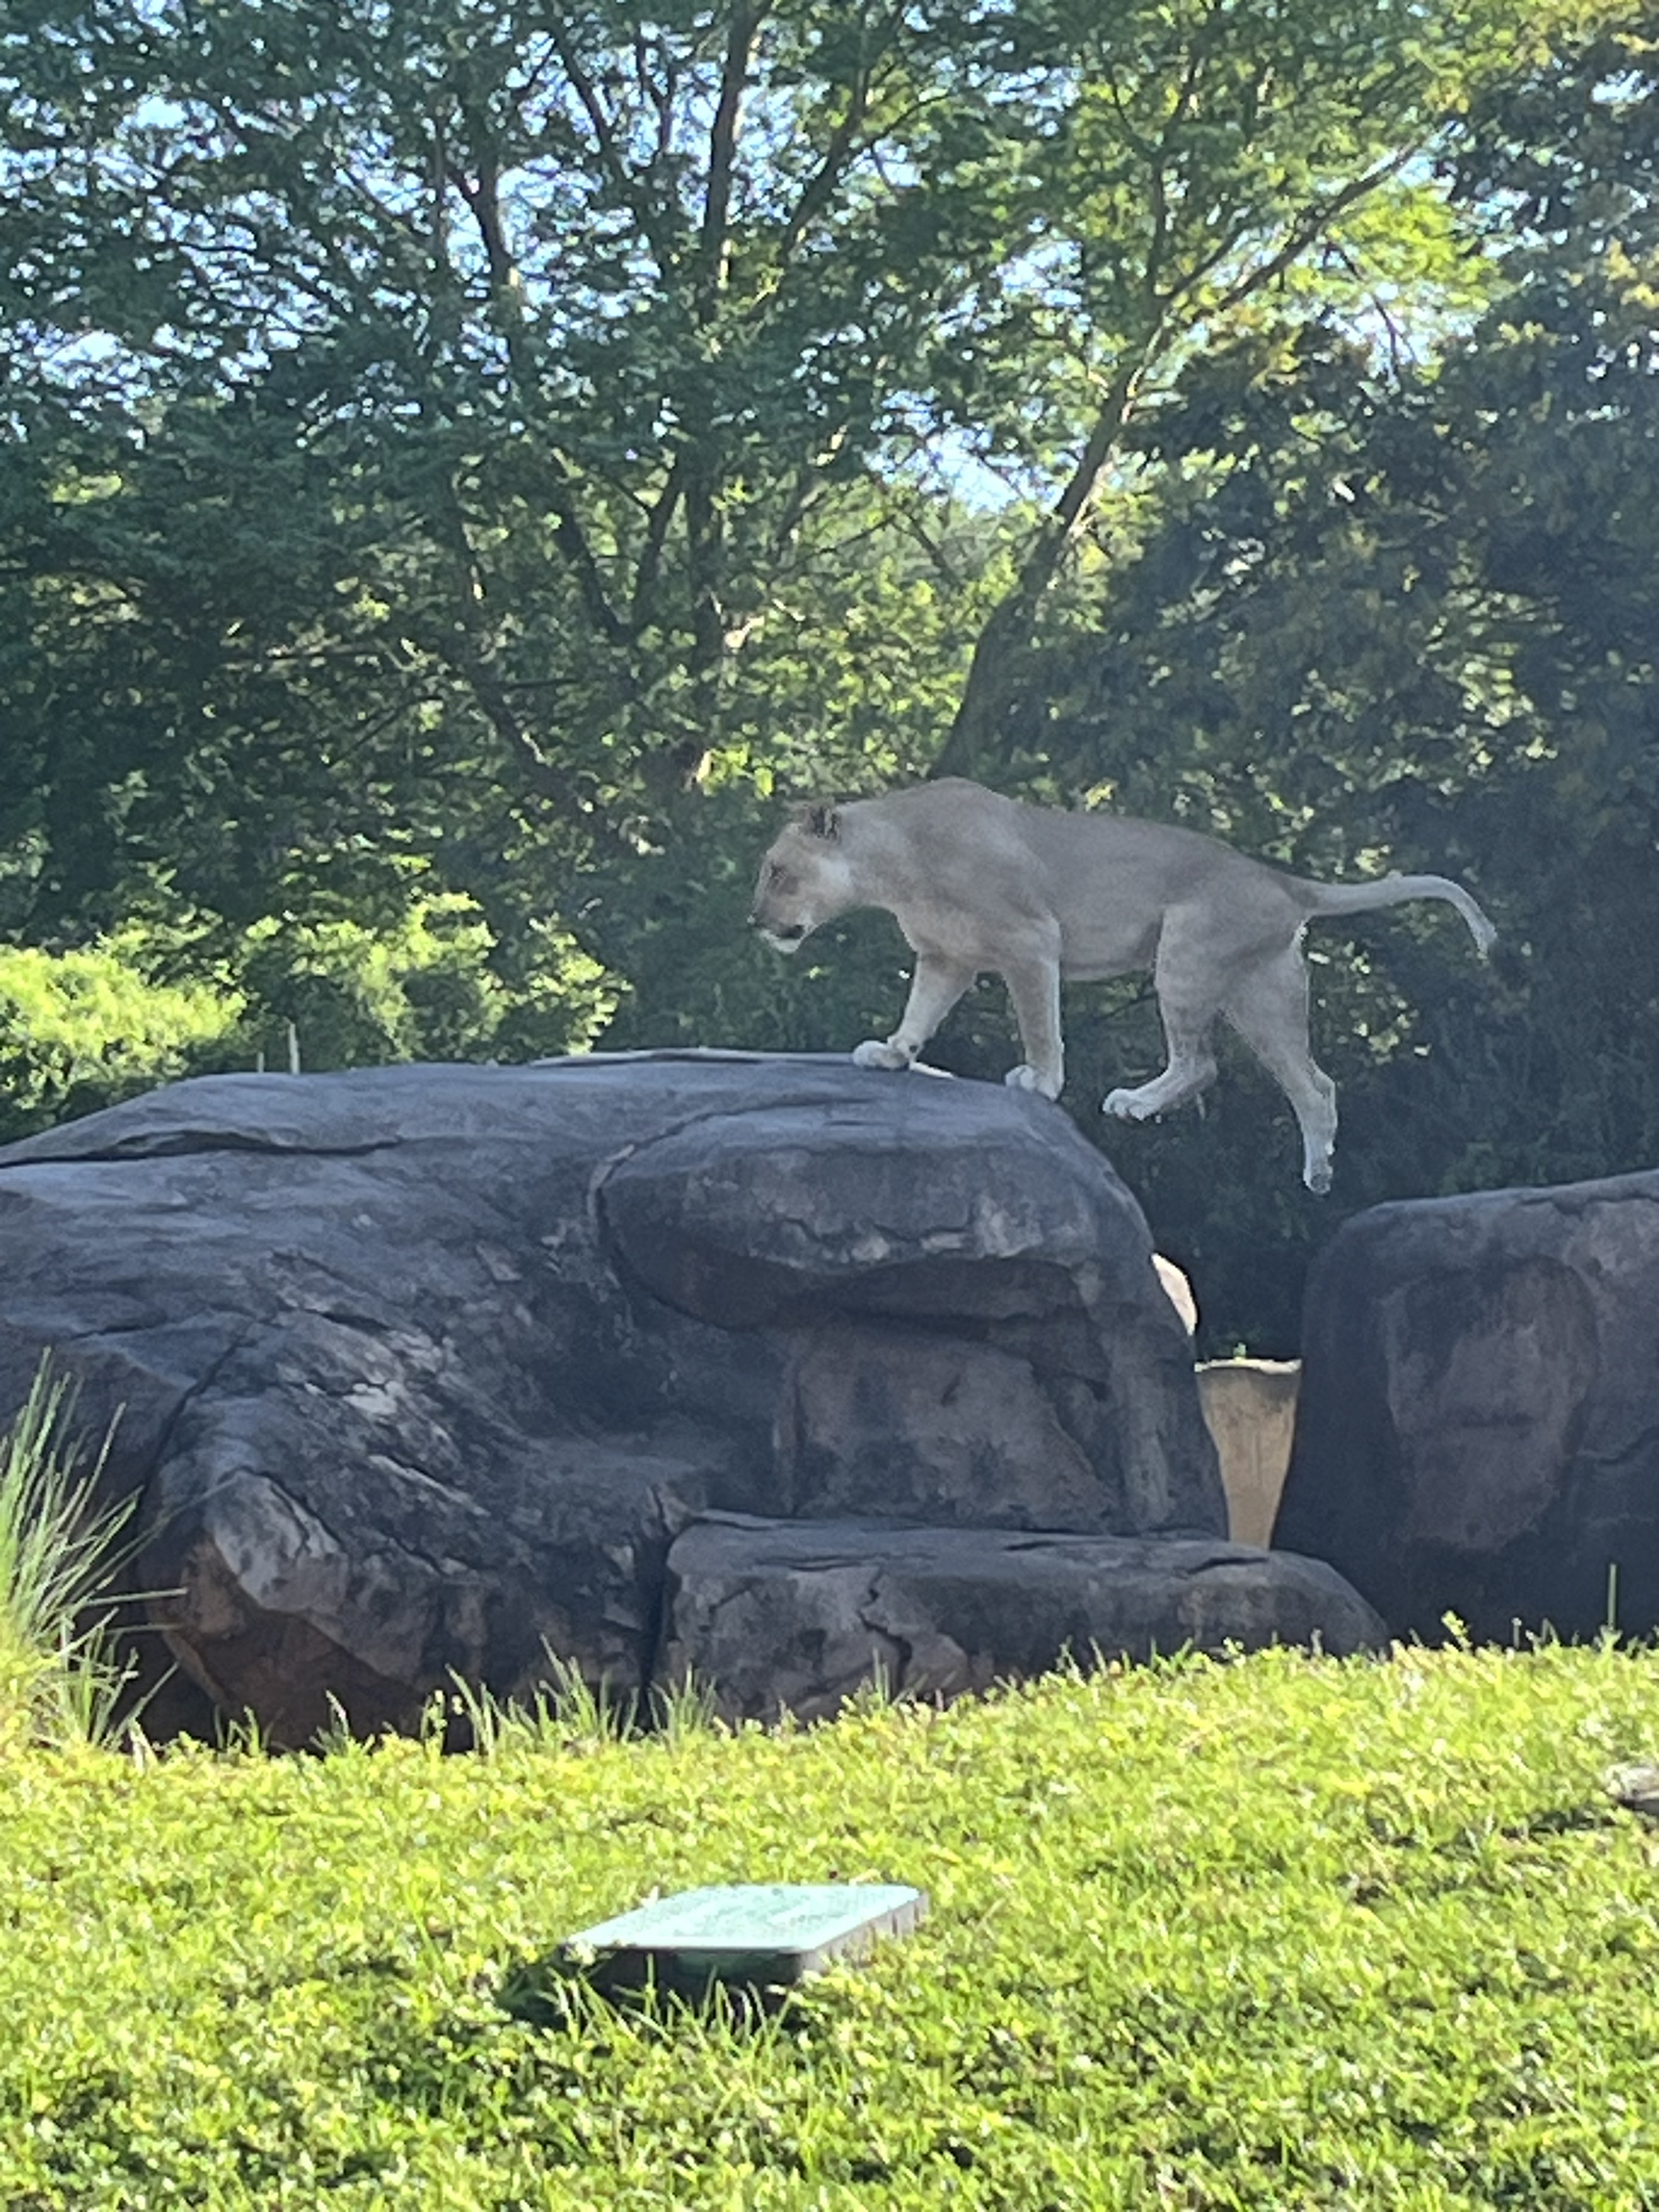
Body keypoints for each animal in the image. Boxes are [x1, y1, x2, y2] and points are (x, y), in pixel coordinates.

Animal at [749, 777, 1495, 1192]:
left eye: (777, 871)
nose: (753, 920)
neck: (895, 864)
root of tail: (1280, 879)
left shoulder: (1031, 940)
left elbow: (1039, 1022)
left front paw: (1040, 1083)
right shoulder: (945, 958)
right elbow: (920, 1013)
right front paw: (892, 1054)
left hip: (1185, 956)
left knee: (1201, 1064)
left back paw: (1135, 1104)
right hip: (1261, 992)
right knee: (1314, 1084)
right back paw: (1318, 1175)